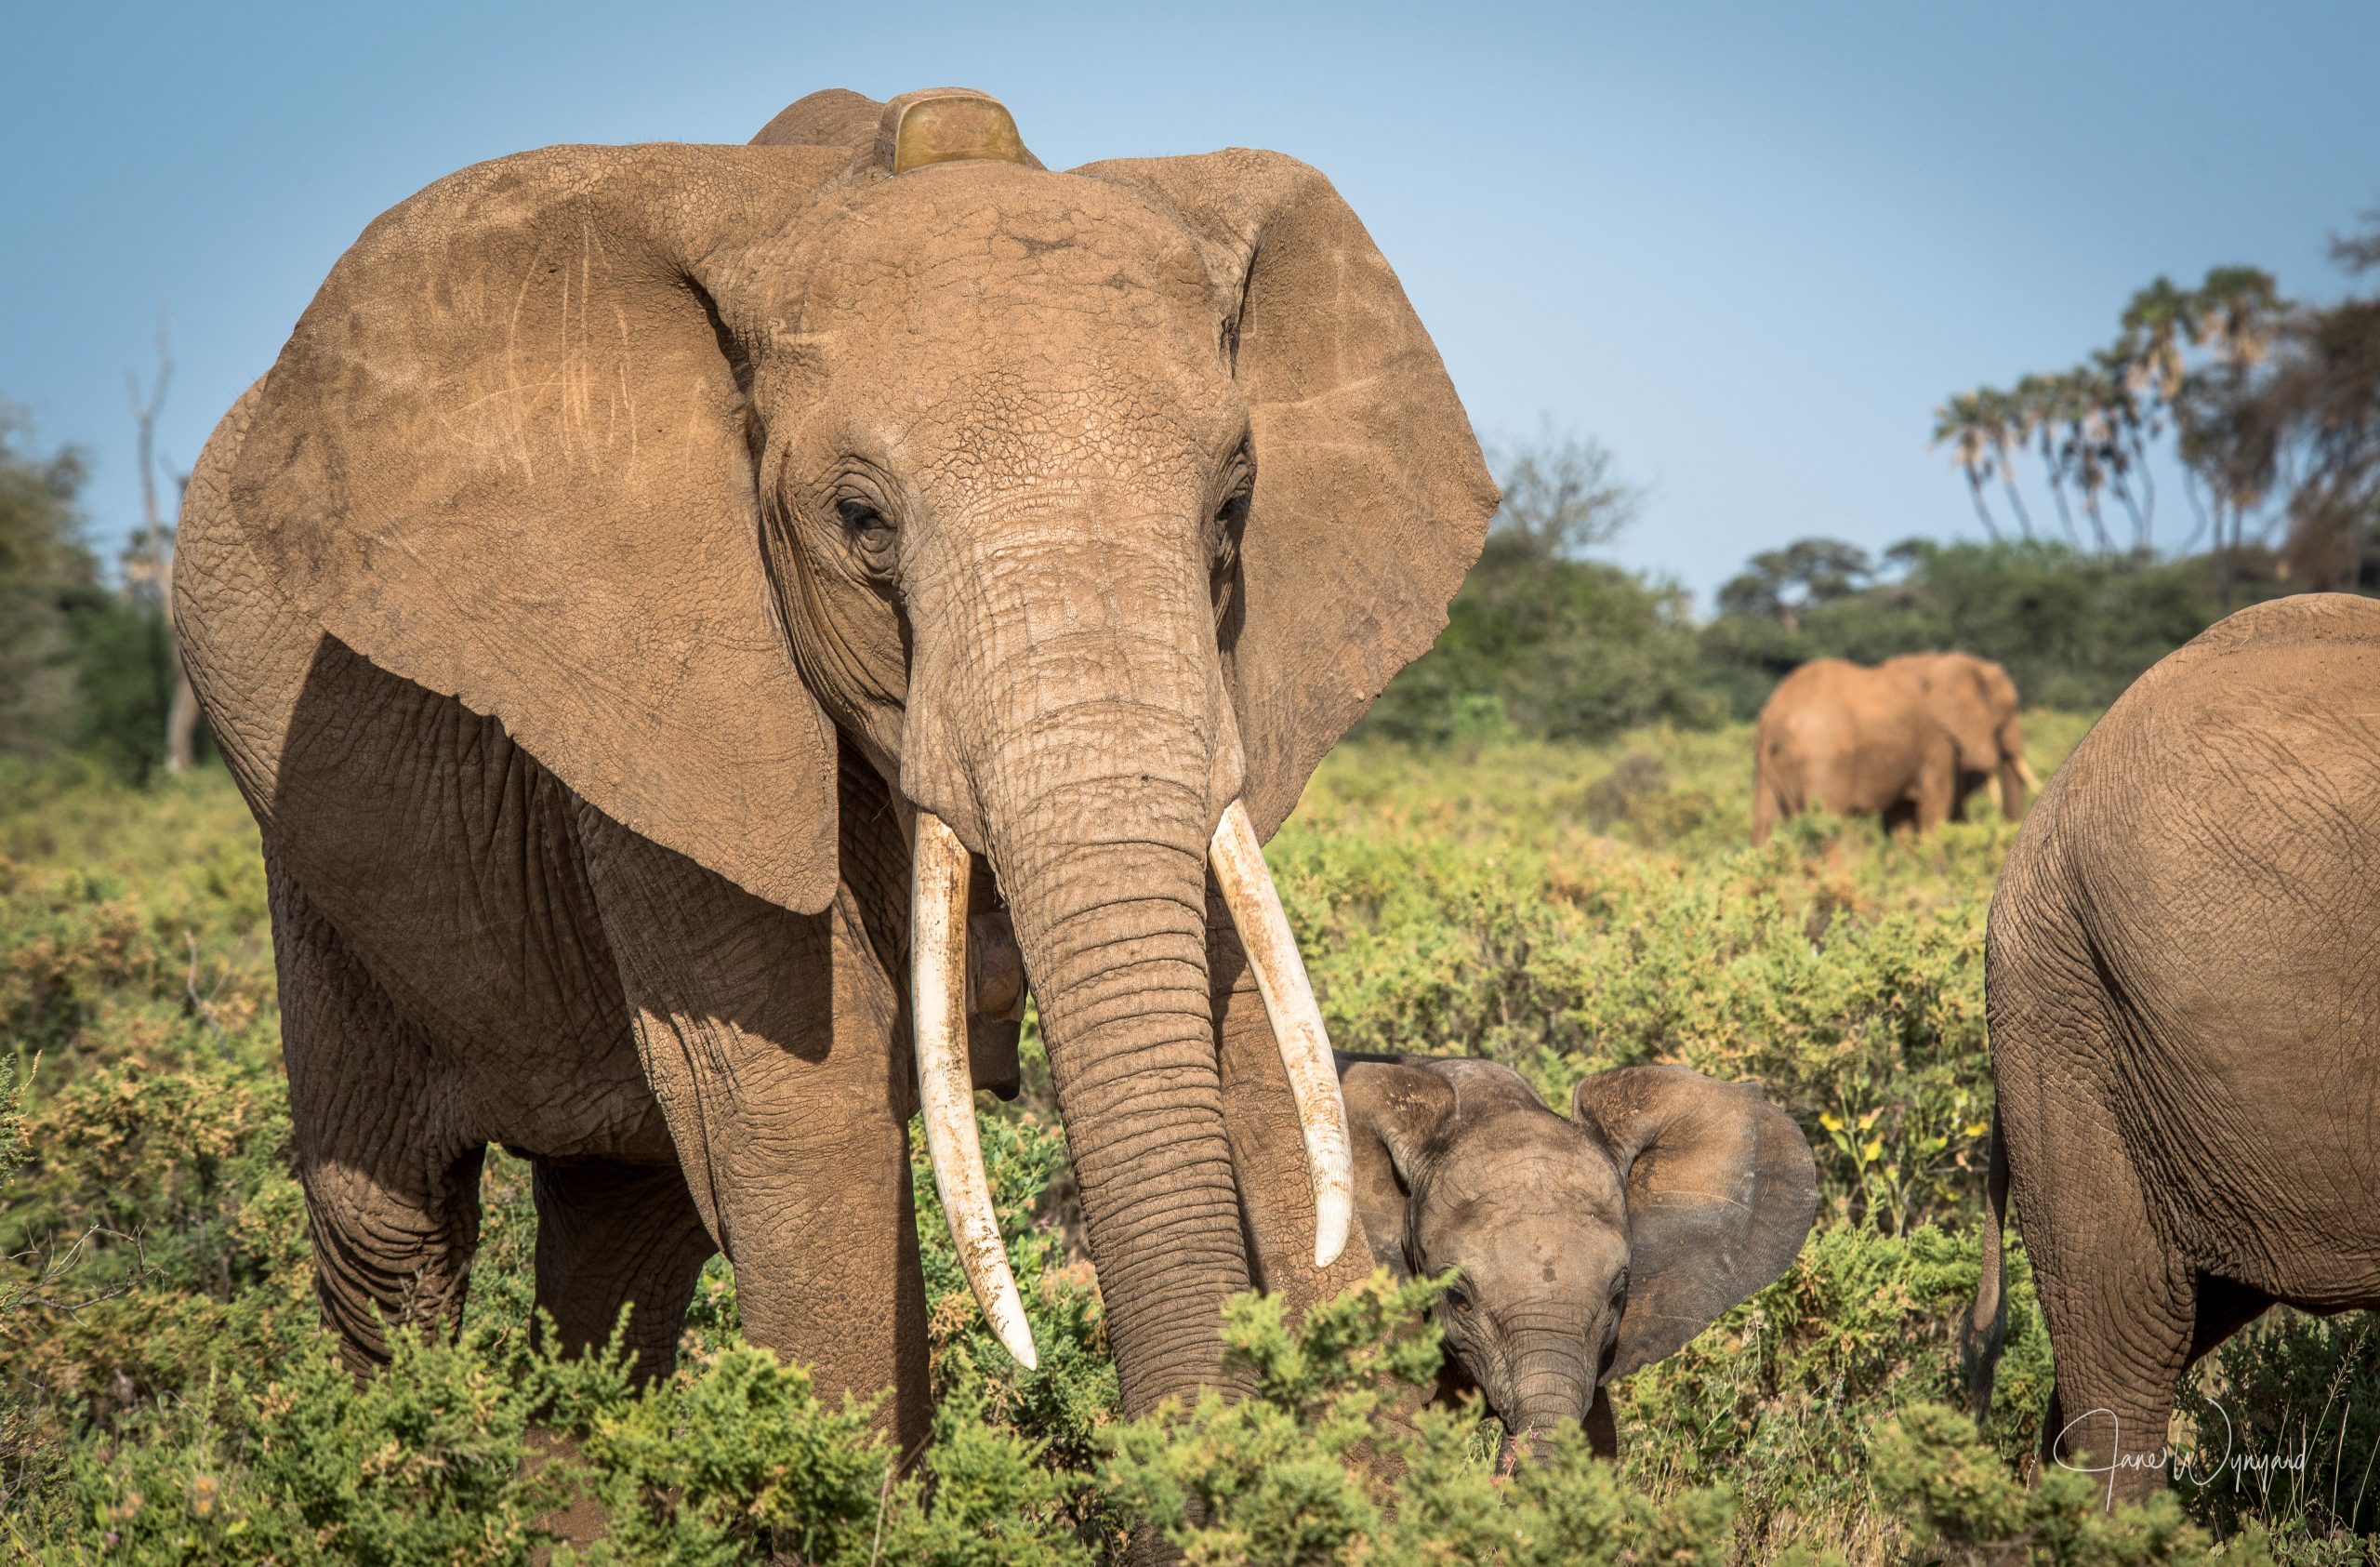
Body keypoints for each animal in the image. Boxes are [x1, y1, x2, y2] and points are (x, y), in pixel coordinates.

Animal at [172, 84, 1499, 1454]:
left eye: (1232, 508)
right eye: (861, 522)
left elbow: (1251, 1055)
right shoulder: (667, 700)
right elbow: (810, 1116)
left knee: (623, 1236)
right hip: (310, 857)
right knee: (392, 1227)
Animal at [1751, 651, 2036, 844]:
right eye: (2008, 715)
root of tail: (1773, 716)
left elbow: (1902, 818)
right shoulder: (1937, 741)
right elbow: (1936, 804)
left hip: (1765, 763)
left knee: (1764, 824)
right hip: (1822, 758)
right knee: (1827, 829)